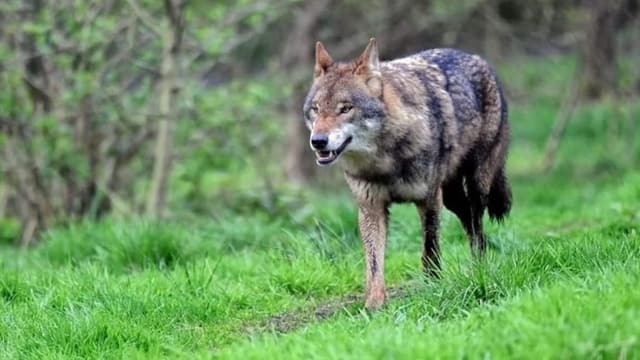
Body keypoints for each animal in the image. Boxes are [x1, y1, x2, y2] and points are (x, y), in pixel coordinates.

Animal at [302, 38, 512, 310]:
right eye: (316, 109)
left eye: (345, 109)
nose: (318, 141)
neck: (385, 160)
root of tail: (478, 59)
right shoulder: (371, 206)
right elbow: (374, 261)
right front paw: (374, 304)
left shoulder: (429, 199)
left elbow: (429, 248)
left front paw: (433, 284)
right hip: (452, 197)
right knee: (469, 218)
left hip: (476, 184)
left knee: (477, 225)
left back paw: (479, 268)